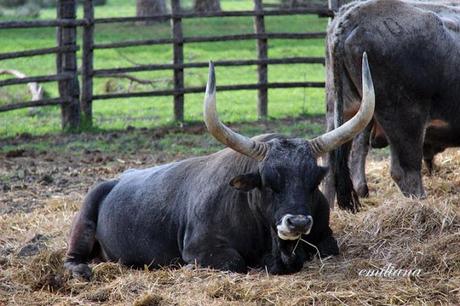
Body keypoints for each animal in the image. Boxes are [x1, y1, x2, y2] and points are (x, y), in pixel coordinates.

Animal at [63, 54, 374, 278]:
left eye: (313, 182)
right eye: (268, 182)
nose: (297, 222)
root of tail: (117, 178)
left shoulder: (326, 238)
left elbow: (325, 249)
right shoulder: (202, 247)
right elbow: (235, 263)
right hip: (83, 220)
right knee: (72, 257)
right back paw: (81, 270)